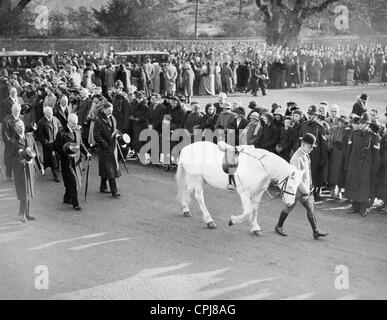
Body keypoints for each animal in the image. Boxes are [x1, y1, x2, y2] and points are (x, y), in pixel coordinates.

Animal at [176, 141, 306, 236]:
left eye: (297, 186)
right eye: (290, 186)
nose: (290, 203)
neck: (258, 167)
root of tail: (186, 148)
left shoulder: (258, 193)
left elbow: (254, 210)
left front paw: (255, 227)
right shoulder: (244, 193)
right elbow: (248, 211)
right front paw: (232, 221)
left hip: (201, 180)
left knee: (188, 191)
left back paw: (185, 209)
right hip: (197, 179)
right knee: (199, 197)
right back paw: (209, 221)